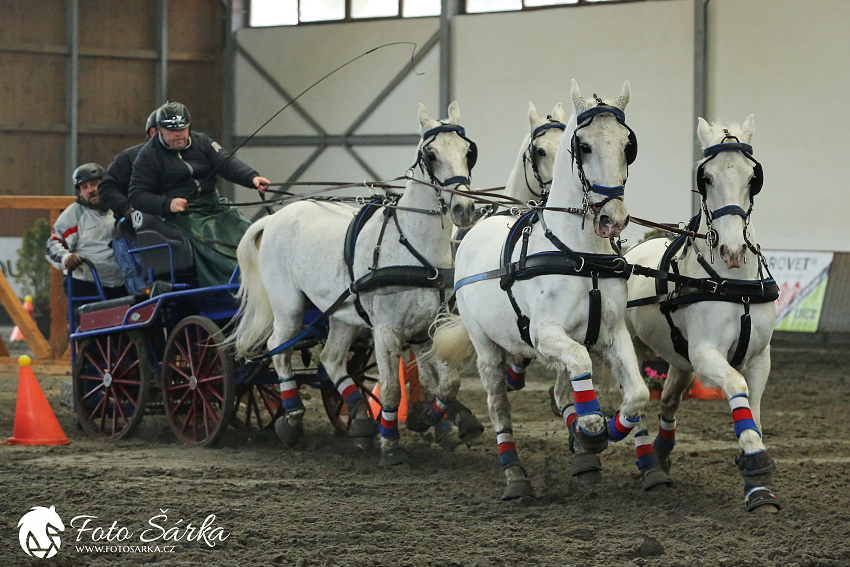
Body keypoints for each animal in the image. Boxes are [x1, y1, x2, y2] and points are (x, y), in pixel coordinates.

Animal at [232, 102, 476, 466]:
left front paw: (430, 421)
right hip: (288, 307)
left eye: (467, 151)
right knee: (280, 350)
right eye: (430, 154)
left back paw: (360, 418)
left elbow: (444, 382)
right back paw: (292, 418)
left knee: (331, 358)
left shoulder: (427, 328)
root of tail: (274, 217)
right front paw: (391, 446)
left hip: (342, 313)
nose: (464, 208)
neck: (415, 247)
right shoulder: (387, 329)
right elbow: (390, 388)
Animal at [430, 81, 664, 502]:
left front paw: (606, 429)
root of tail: (475, 229)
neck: (580, 254)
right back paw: (515, 475)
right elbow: (581, 364)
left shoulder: (612, 332)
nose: (613, 218)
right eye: (583, 145)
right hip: (486, 348)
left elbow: (636, 393)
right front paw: (592, 429)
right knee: (498, 405)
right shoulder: (544, 333)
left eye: (628, 145)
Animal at [628, 116, 780, 516]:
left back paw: (662, 453)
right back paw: (650, 467)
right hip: (632, 347)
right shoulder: (705, 354)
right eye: (706, 177)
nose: (732, 251)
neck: (734, 283)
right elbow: (737, 387)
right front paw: (755, 462)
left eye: (752, 177)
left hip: (678, 359)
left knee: (668, 399)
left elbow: (753, 411)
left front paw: (758, 486)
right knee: (635, 401)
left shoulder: (759, 357)